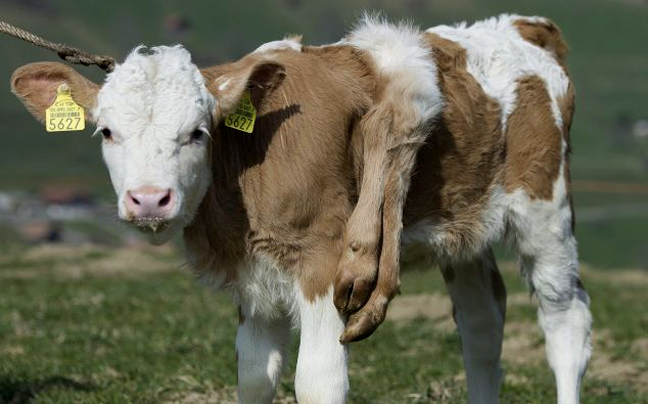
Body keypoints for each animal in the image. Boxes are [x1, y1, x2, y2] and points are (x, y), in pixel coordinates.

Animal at [10, 14, 588, 404]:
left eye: (198, 132)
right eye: (107, 131)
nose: (149, 198)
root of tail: (519, 26)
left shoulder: (326, 264)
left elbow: (316, 379)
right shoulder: (254, 278)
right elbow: (253, 375)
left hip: (545, 209)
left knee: (566, 320)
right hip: (462, 226)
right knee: (482, 322)